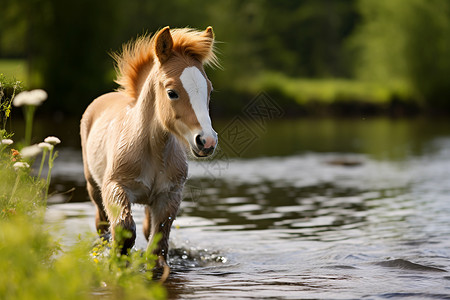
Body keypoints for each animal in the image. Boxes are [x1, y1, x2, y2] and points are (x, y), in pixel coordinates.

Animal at [80, 27, 219, 268]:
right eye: (172, 92)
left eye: (209, 90)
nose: (207, 141)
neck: (152, 149)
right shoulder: (114, 187)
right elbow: (124, 229)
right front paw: (118, 261)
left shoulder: (169, 195)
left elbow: (158, 243)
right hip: (93, 187)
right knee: (102, 224)